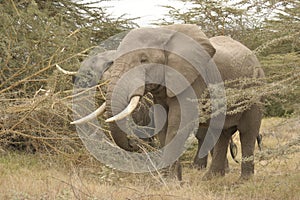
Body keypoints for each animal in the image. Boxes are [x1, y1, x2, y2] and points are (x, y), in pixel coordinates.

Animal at [71, 24, 264, 180]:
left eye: (144, 60)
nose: (133, 144)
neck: (163, 32)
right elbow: (163, 125)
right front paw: (168, 179)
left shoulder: (192, 79)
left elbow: (176, 124)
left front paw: (171, 180)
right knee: (220, 133)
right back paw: (211, 179)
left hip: (255, 90)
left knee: (247, 132)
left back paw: (243, 181)